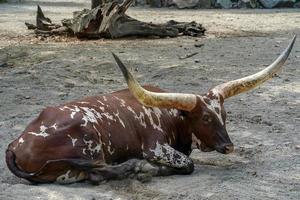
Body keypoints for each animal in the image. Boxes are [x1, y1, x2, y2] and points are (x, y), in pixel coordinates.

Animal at [5, 35, 296, 184]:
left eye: (223, 115)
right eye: (204, 117)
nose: (229, 147)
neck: (171, 118)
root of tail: (15, 143)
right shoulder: (154, 147)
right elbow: (188, 164)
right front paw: (146, 168)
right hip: (89, 142)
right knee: (97, 173)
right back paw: (134, 168)